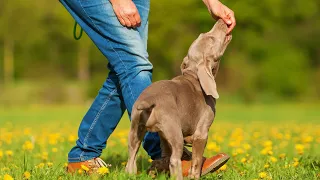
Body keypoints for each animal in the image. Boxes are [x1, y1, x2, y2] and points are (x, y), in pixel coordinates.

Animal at [125, 19, 232, 179]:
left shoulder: (163, 136)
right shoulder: (202, 132)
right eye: (211, 38)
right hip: (174, 130)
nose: (221, 21)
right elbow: (196, 161)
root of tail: (148, 100)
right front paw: (195, 176)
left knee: (132, 156)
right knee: (174, 160)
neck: (194, 77)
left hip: (136, 129)